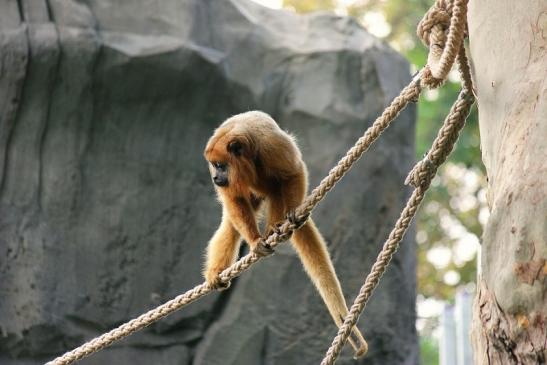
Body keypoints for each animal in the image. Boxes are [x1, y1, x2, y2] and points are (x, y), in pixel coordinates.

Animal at [204, 110, 368, 356]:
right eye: (214, 166)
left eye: (220, 165)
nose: (215, 177)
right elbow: (234, 200)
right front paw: (255, 241)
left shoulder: (271, 146)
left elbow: (293, 172)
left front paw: (289, 214)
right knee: (231, 222)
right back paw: (217, 271)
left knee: (276, 185)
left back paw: (277, 227)